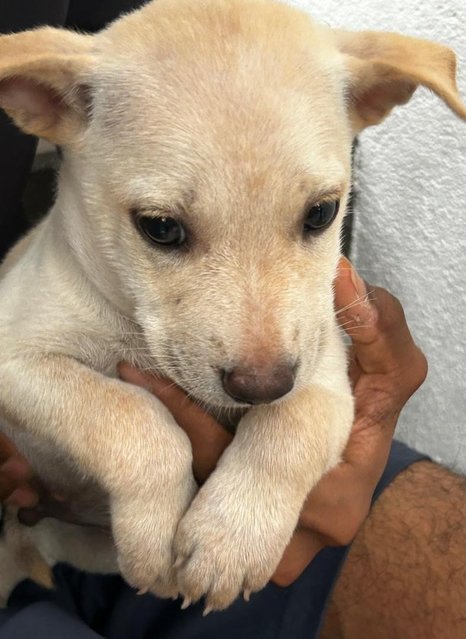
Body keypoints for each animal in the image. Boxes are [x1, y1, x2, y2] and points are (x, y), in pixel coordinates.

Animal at [0, 0, 466, 612]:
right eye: (160, 228)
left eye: (322, 213)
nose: (262, 386)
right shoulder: (16, 356)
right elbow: (125, 412)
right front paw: (157, 533)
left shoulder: (325, 371)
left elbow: (293, 425)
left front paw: (232, 539)